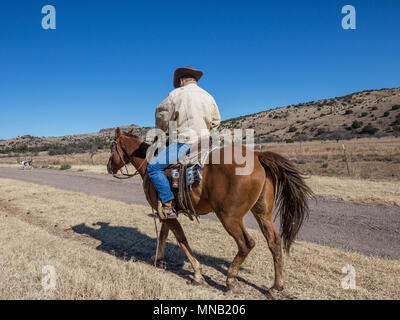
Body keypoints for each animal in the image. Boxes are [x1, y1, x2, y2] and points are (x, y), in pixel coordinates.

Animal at [108, 127, 314, 290]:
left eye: (111, 148)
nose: (109, 166)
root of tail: (257, 156)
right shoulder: (166, 211)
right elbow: (165, 234)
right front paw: (157, 258)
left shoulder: (166, 213)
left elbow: (181, 239)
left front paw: (197, 273)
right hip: (262, 212)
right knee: (274, 242)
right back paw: (276, 286)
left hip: (230, 217)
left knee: (246, 244)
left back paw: (230, 279)